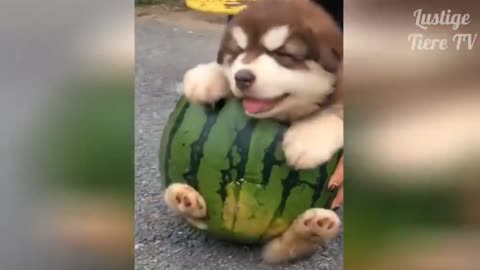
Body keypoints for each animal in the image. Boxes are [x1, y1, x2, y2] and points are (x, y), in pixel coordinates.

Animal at [167, 0, 344, 262]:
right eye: (238, 52)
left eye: (282, 54)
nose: (242, 77)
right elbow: (222, 69)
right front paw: (206, 78)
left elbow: (336, 110)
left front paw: (307, 142)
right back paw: (184, 198)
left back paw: (313, 229)